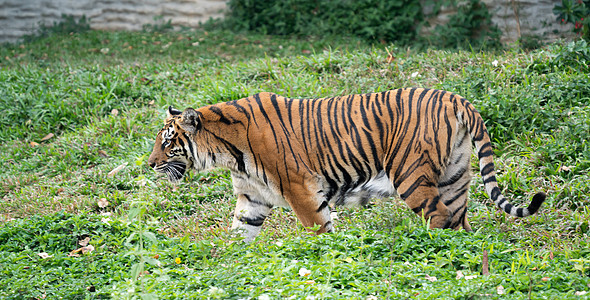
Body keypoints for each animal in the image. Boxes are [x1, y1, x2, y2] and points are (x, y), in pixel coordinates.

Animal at [148, 87, 544, 241]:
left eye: (167, 142)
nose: (150, 164)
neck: (227, 152)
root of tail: (456, 98)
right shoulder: (252, 197)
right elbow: (239, 233)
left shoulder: (300, 189)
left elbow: (319, 230)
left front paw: (325, 256)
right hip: (454, 176)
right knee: (459, 221)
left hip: (410, 175)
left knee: (439, 217)